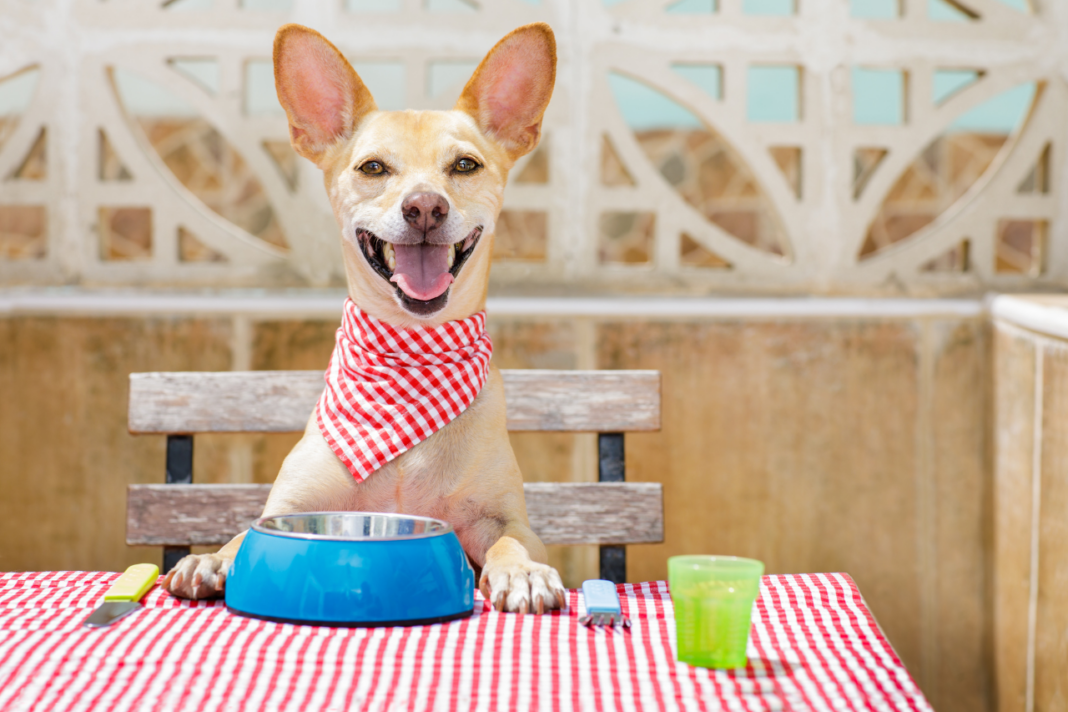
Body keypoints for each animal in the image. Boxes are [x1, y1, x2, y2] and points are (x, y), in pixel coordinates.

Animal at [164, 20, 568, 614]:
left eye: (464, 165)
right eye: (373, 167)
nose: (425, 207)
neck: (407, 356)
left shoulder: (505, 517)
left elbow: (512, 541)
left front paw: (522, 572)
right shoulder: (288, 507)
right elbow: (242, 534)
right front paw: (211, 558)